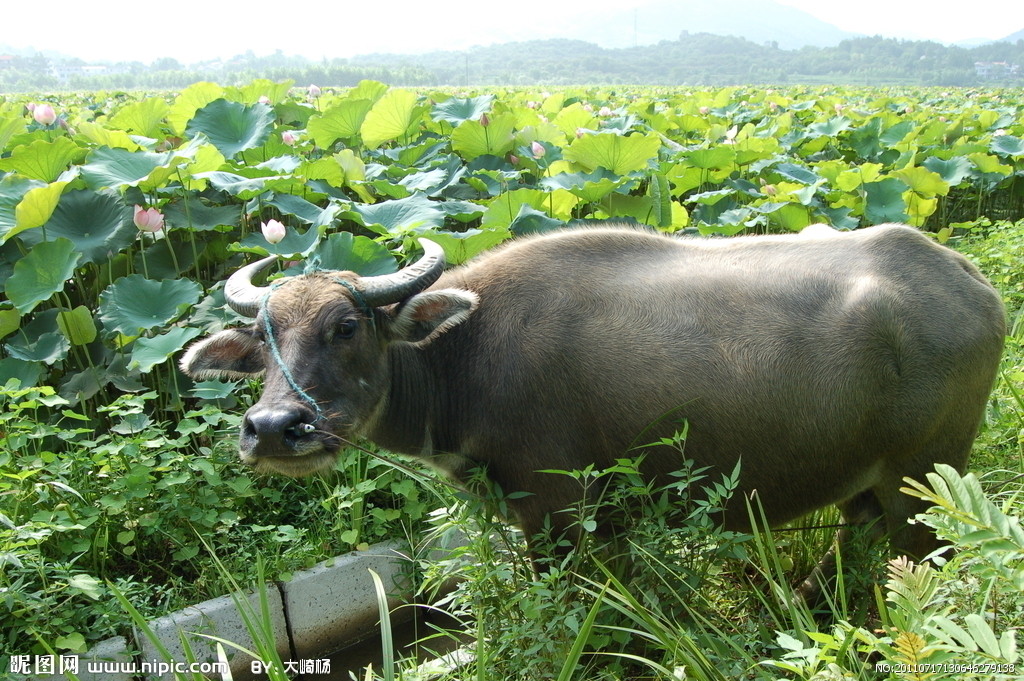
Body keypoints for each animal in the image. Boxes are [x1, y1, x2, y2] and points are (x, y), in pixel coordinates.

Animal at [180, 223, 1003, 585]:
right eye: (263, 336)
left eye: (346, 326)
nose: (274, 428)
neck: (466, 352)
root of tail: (967, 277)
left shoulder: (555, 511)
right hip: (870, 482)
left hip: (924, 484)